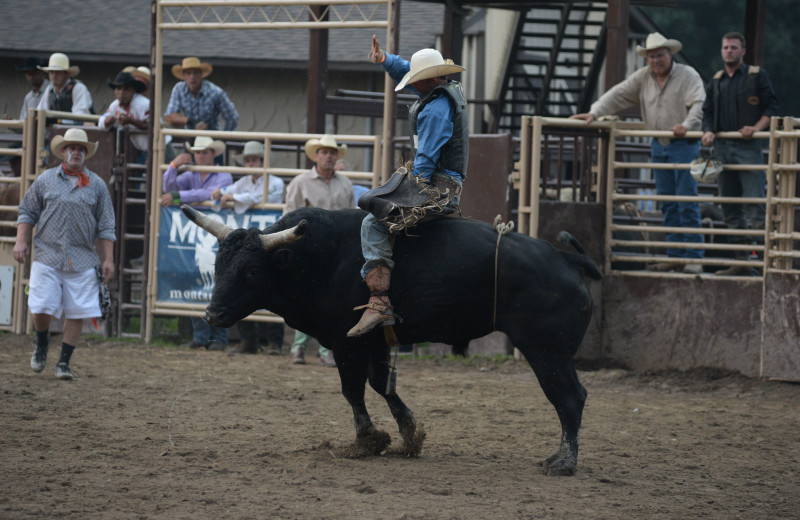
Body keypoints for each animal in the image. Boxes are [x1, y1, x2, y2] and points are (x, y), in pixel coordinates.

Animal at [181, 205, 604, 478]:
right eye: (218, 264)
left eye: (252, 271)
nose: (212, 314)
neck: (319, 257)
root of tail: (567, 260)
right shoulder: (375, 341)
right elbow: (383, 384)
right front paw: (409, 434)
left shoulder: (346, 343)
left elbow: (354, 390)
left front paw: (367, 440)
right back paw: (557, 457)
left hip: (547, 350)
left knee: (569, 398)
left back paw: (564, 463)